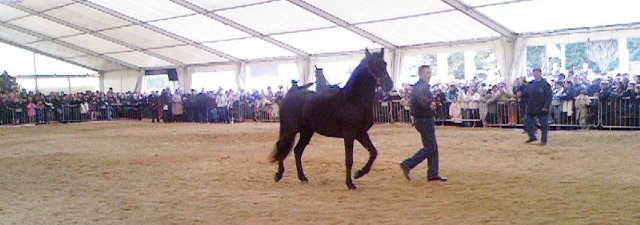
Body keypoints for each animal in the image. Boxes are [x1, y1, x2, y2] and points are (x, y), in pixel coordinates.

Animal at [268, 48, 392, 189]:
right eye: (372, 64)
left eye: (385, 63)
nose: (389, 85)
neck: (353, 100)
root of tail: (289, 96)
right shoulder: (349, 135)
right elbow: (349, 159)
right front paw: (350, 184)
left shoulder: (361, 133)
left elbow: (373, 152)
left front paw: (359, 173)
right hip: (290, 129)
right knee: (281, 146)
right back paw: (278, 175)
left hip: (307, 132)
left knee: (297, 151)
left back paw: (303, 178)